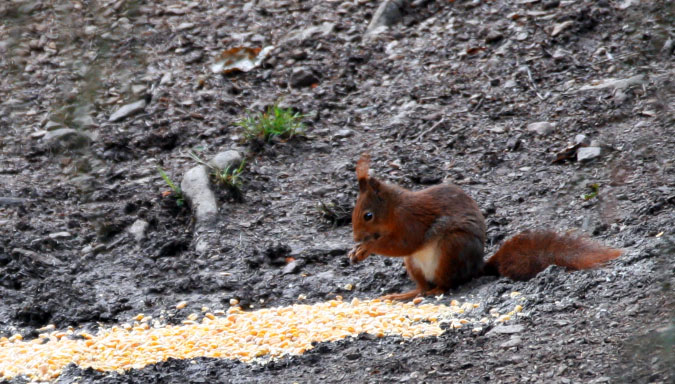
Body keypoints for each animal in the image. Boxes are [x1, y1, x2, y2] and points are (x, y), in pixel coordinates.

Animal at [352, 154, 620, 302]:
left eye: (368, 215)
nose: (355, 237)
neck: (392, 209)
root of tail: (476, 267)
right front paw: (357, 251)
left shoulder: (411, 220)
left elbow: (405, 243)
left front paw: (367, 248)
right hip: (414, 264)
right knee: (422, 285)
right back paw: (407, 293)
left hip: (451, 248)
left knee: (446, 283)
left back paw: (434, 290)